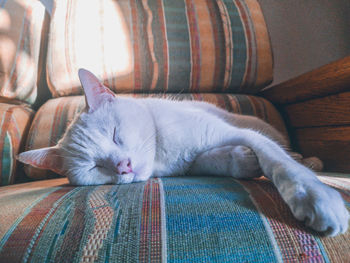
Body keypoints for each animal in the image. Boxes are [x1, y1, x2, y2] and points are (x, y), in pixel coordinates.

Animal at [18, 68, 348, 237]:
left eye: (114, 133)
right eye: (94, 166)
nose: (123, 166)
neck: (164, 156)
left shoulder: (242, 135)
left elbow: (281, 165)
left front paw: (315, 198)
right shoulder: (195, 162)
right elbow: (214, 160)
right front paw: (241, 160)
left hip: (259, 127)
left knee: (290, 154)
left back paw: (309, 161)